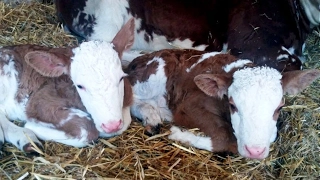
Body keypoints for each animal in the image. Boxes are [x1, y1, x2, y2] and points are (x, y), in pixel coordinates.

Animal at [0, 17, 134, 152]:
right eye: (80, 86)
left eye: (121, 78)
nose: (111, 125)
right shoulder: (38, 103)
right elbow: (87, 130)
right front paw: (33, 127)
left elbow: (125, 122)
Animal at [124, 48, 320, 159]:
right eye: (233, 105)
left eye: (279, 107)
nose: (255, 151)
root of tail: (142, 56)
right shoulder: (187, 107)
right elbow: (225, 137)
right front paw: (181, 135)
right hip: (154, 75)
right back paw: (150, 116)